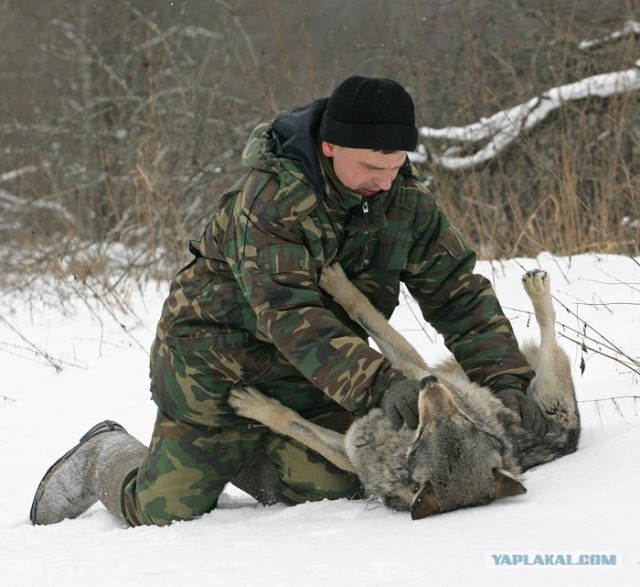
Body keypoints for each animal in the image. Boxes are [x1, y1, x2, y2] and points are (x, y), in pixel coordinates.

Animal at [229, 266, 580, 520]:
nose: (430, 383)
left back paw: (537, 290)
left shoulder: (411, 364)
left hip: (552, 375)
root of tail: (573, 437)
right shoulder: (348, 450)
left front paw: (334, 279)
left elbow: (362, 310)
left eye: (465, 421)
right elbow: (298, 426)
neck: (394, 451)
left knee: (550, 327)